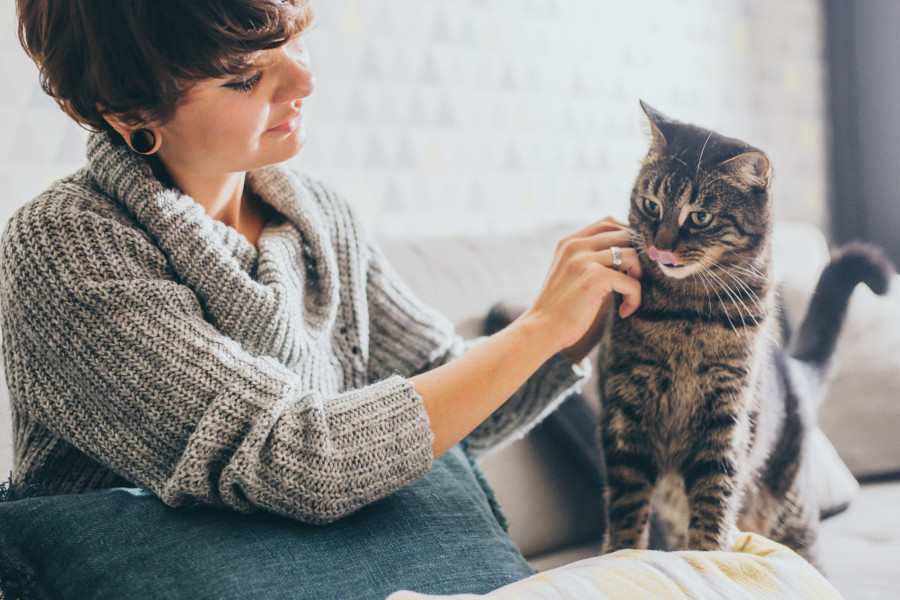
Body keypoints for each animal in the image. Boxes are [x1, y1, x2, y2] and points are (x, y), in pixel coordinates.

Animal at [596, 101, 892, 564]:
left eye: (699, 217)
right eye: (650, 205)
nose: (660, 248)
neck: (686, 313)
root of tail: (792, 369)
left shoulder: (725, 415)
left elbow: (713, 497)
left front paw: (707, 556)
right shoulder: (627, 410)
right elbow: (627, 507)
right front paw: (622, 554)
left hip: (792, 516)